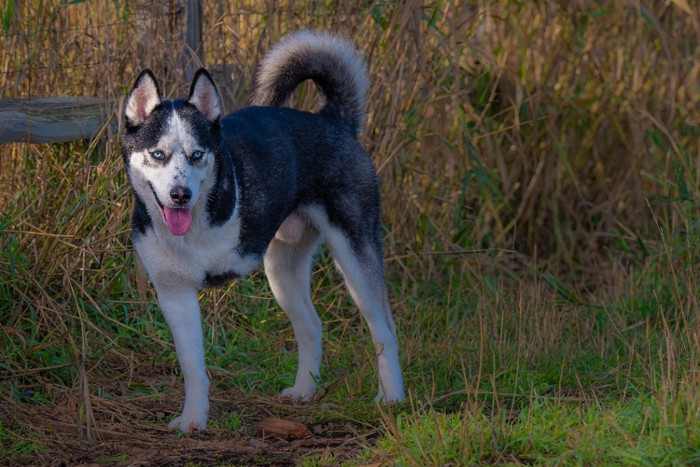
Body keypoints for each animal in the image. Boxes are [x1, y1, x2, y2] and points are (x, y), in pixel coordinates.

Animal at [120, 31, 404, 432]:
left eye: (197, 154)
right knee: (311, 325)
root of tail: (332, 119)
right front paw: (193, 419)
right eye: (157, 154)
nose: (180, 194)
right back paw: (305, 390)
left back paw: (391, 397)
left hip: (354, 255)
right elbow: (192, 366)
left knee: (384, 329)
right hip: (282, 270)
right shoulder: (175, 294)